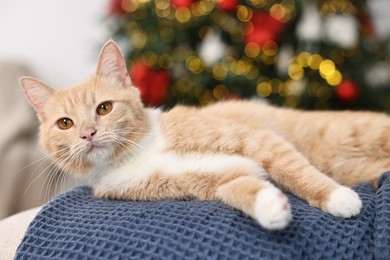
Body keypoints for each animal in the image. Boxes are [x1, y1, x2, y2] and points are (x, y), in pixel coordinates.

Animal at [20, 40, 390, 230]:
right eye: (65, 124)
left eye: (105, 107)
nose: (88, 133)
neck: (139, 154)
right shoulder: (214, 179)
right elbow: (242, 188)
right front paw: (271, 208)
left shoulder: (258, 140)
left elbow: (296, 170)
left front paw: (336, 198)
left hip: (358, 133)